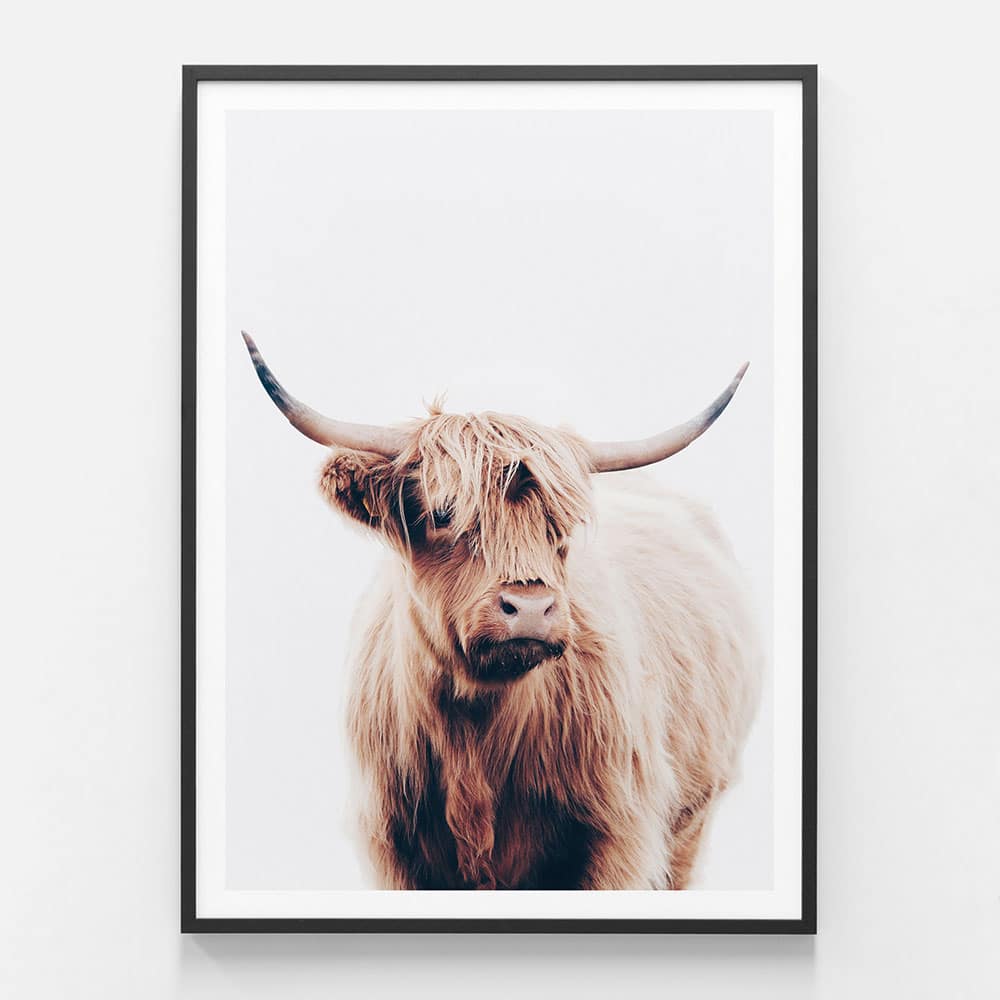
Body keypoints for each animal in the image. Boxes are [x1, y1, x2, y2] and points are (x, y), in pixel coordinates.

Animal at [242, 331, 762, 890]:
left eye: (562, 525)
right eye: (443, 512)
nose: (531, 608)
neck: (474, 728)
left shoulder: (615, 839)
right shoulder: (393, 850)